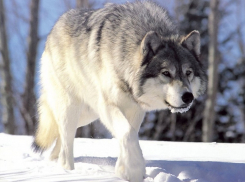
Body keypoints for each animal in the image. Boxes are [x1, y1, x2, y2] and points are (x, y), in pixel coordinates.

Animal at [32, 1, 207, 182]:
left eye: (188, 73)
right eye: (166, 73)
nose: (188, 97)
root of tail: (55, 28)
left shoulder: (135, 109)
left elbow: (130, 134)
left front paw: (124, 170)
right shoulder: (108, 105)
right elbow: (128, 133)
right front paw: (134, 170)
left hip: (87, 115)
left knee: (60, 135)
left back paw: (53, 161)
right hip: (72, 108)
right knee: (66, 142)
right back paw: (67, 170)